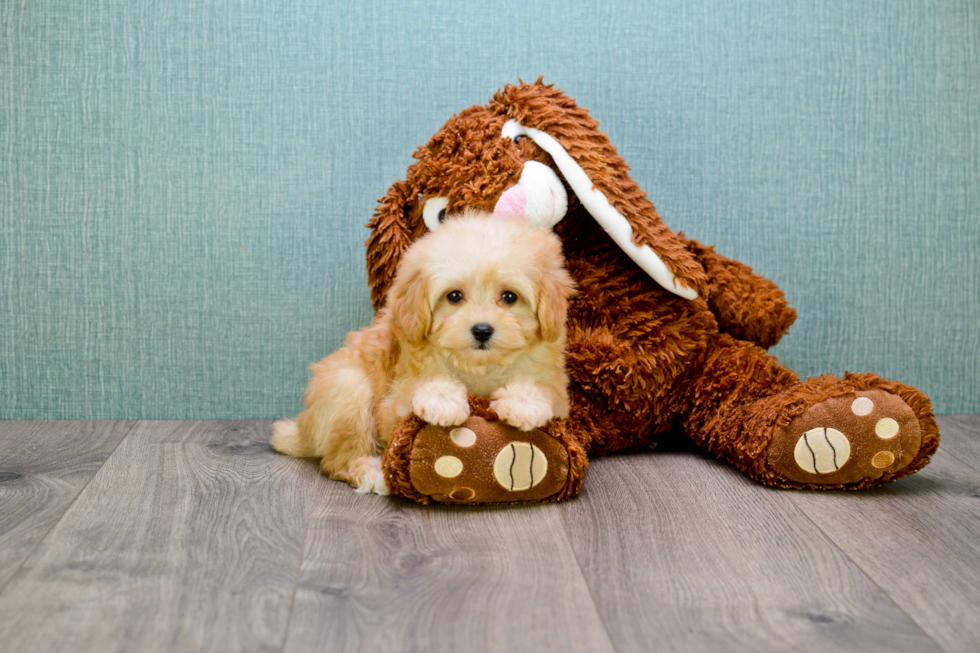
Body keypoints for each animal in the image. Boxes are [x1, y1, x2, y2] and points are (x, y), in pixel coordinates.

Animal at [270, 209, 576, 494]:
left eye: (509, 297)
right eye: (454, 296)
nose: (482, 330)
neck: (478, 368)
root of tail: (303, 429)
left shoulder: (558, 393)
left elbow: (543, 389)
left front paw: (523, 402)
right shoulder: (393, 404)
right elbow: (415, 392)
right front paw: (441, 399)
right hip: (348, 389)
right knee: (338, 459)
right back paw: (372, 473)